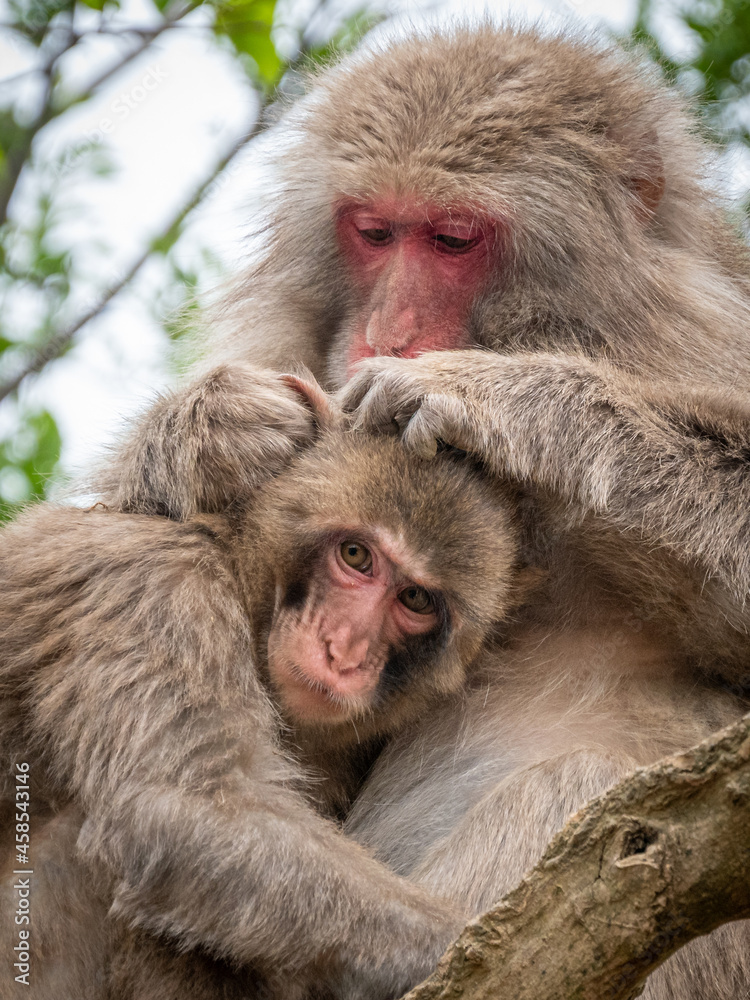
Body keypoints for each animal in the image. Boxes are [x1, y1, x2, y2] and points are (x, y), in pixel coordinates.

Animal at [0, 370, 528, 1000]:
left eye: (416, 599)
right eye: (356, 555)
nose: (343, 650)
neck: (233, 568)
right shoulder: (158, 588)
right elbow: (184, 809)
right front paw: (467, 943)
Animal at [91, 23, 750, 996]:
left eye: (452, 238)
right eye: (371, 231)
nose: (385, 335)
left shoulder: (704, 340)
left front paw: (511, 400)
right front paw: (206, 428)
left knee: (591, 790)